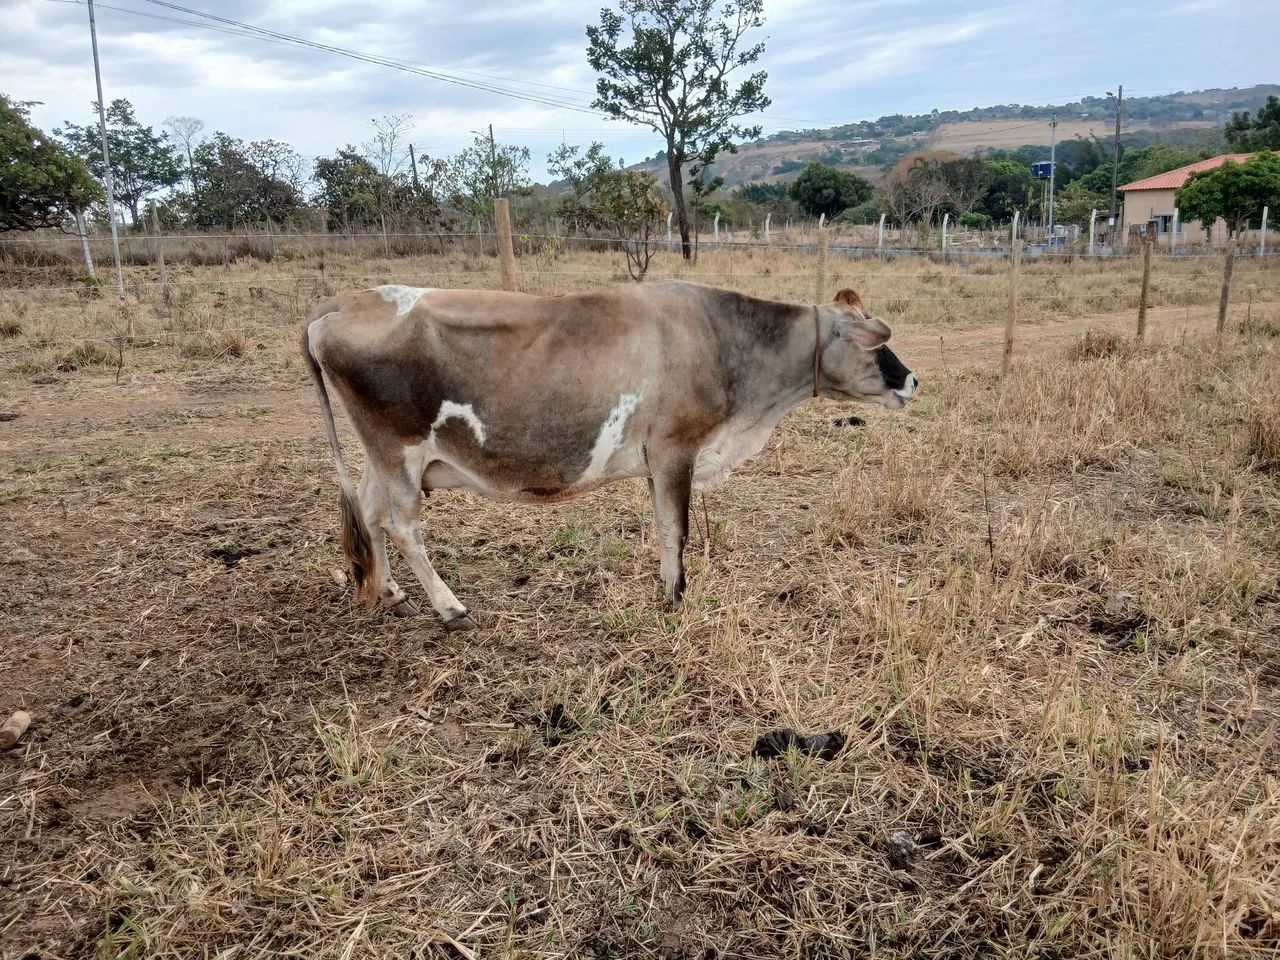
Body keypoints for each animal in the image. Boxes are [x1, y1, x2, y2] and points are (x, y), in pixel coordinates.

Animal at [302, 281, 918, 630]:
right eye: (875, 344)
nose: (912, 379)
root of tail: (340, 302)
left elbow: (664, 526)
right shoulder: (674, 448)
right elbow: (676, 529)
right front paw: (675, 595)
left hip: (382, 458)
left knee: (368, 514)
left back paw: (389, 592)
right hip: (398, 451)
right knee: (403, 527)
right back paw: (450, 608)